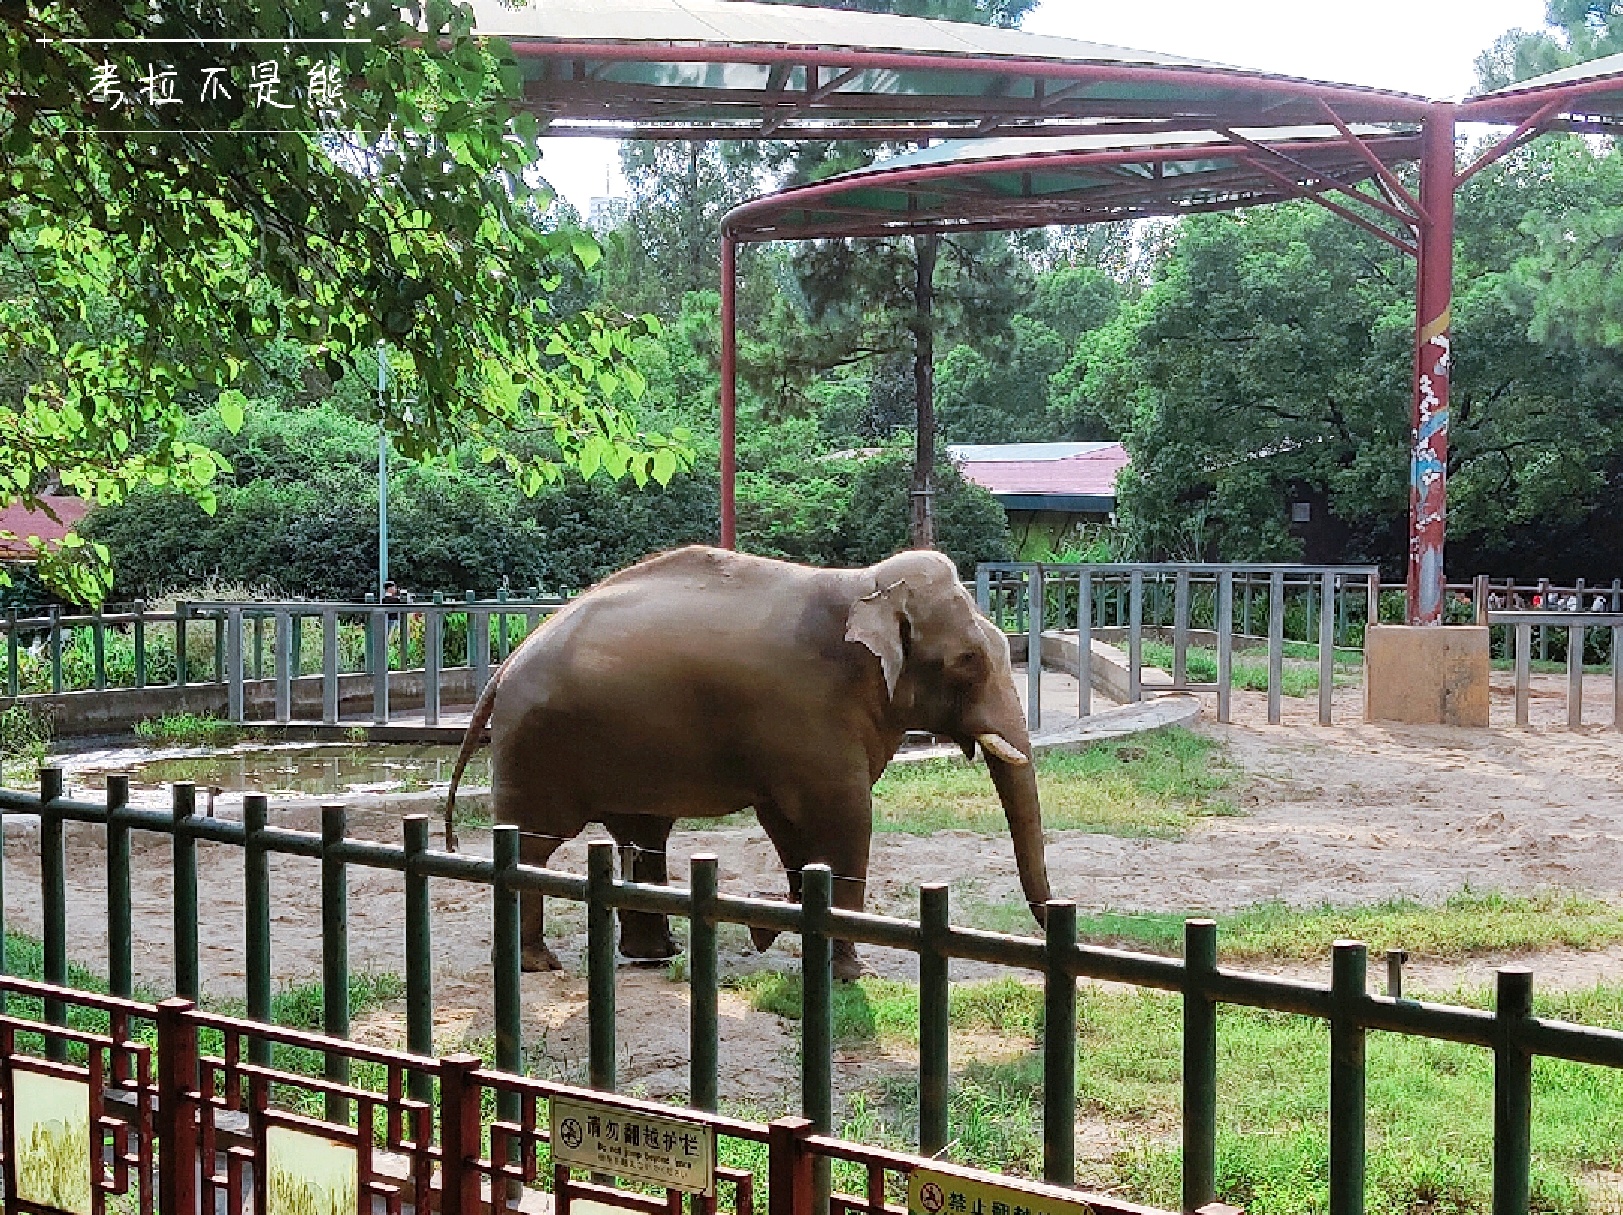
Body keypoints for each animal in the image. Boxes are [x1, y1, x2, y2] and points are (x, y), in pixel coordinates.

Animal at [444, 545, 1051, 979]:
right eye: (967, 661)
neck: (863, 586)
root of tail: (505, 665)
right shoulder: (808, 715)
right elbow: (846, 820)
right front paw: (851, 972)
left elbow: (788, 824)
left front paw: (793, 934)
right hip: (537, 748)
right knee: (533, 845)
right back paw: (538, 964)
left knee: (640, 835)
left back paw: (654, 956)